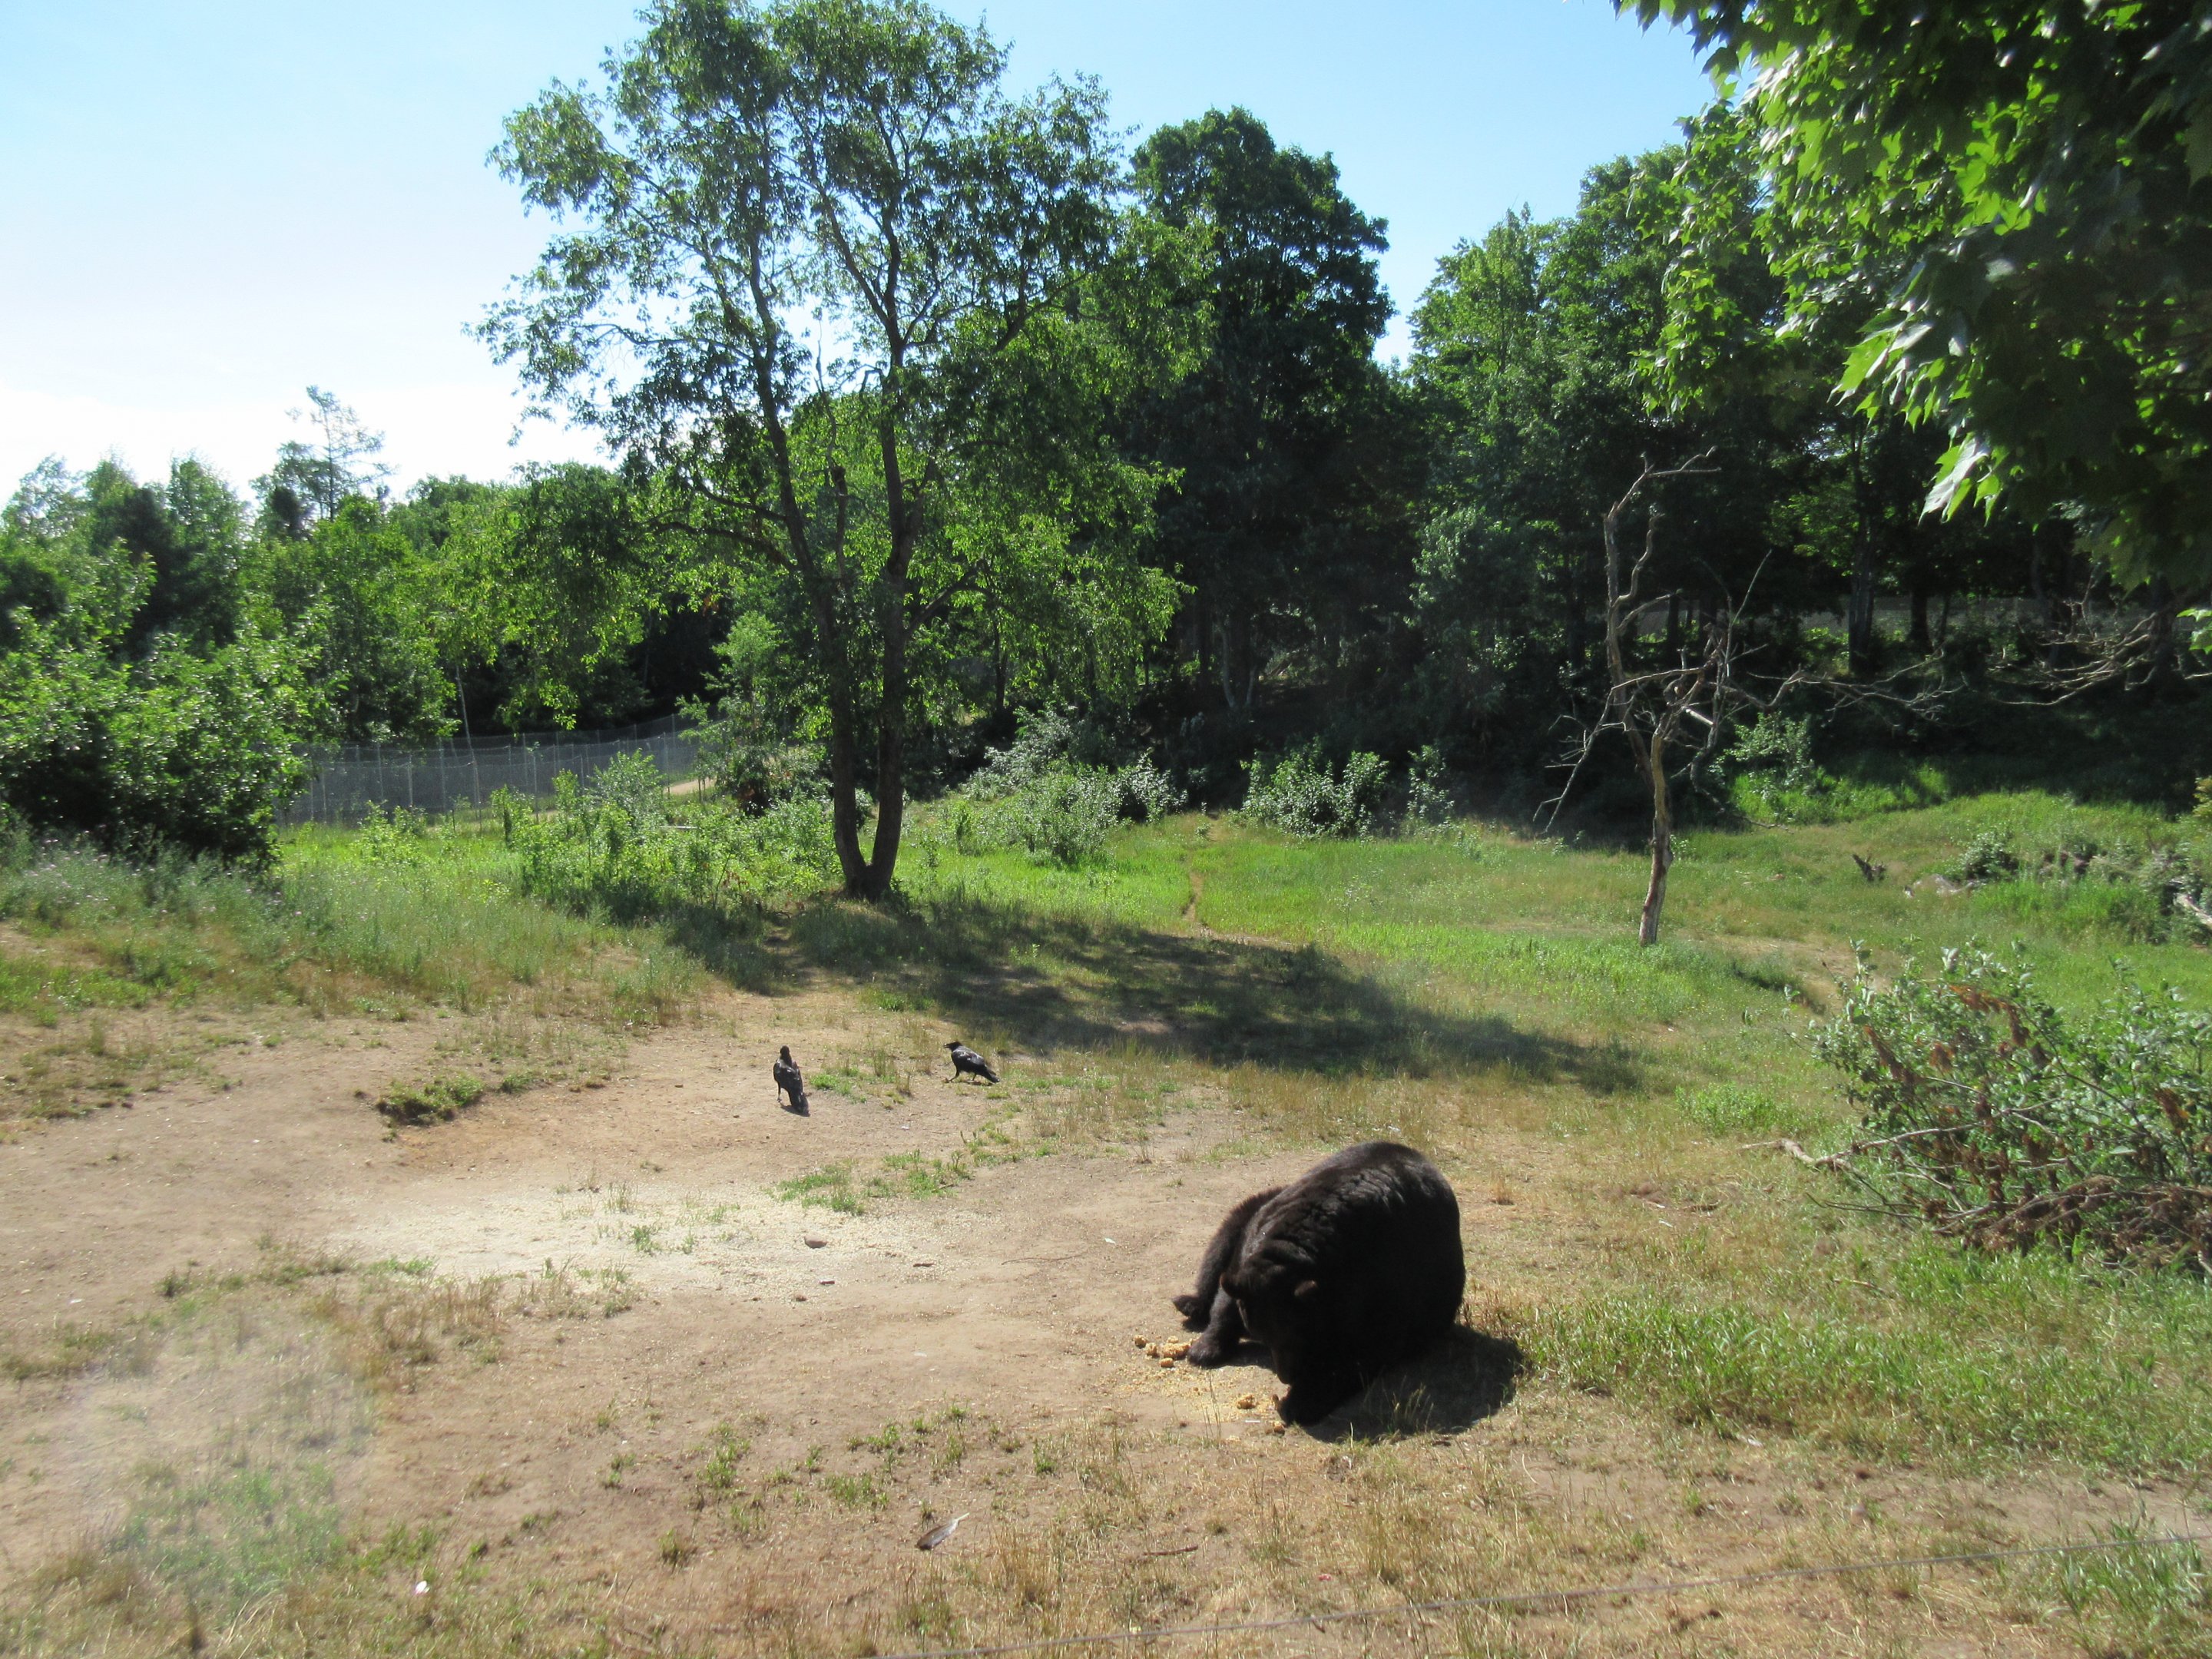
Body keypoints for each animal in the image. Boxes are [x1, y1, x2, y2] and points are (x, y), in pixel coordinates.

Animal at [1174, 1140, 1465, 1425]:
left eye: (1301, 1338)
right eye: (1266, 1336)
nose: (1287, 1375)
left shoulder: (1383, 1283)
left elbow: (1366, 1350)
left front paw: (1302, 1400)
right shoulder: (1256, 1240)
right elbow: (1228, 1293)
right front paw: (1205, 1348)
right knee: (1223, 1240)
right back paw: (1190, 1303)